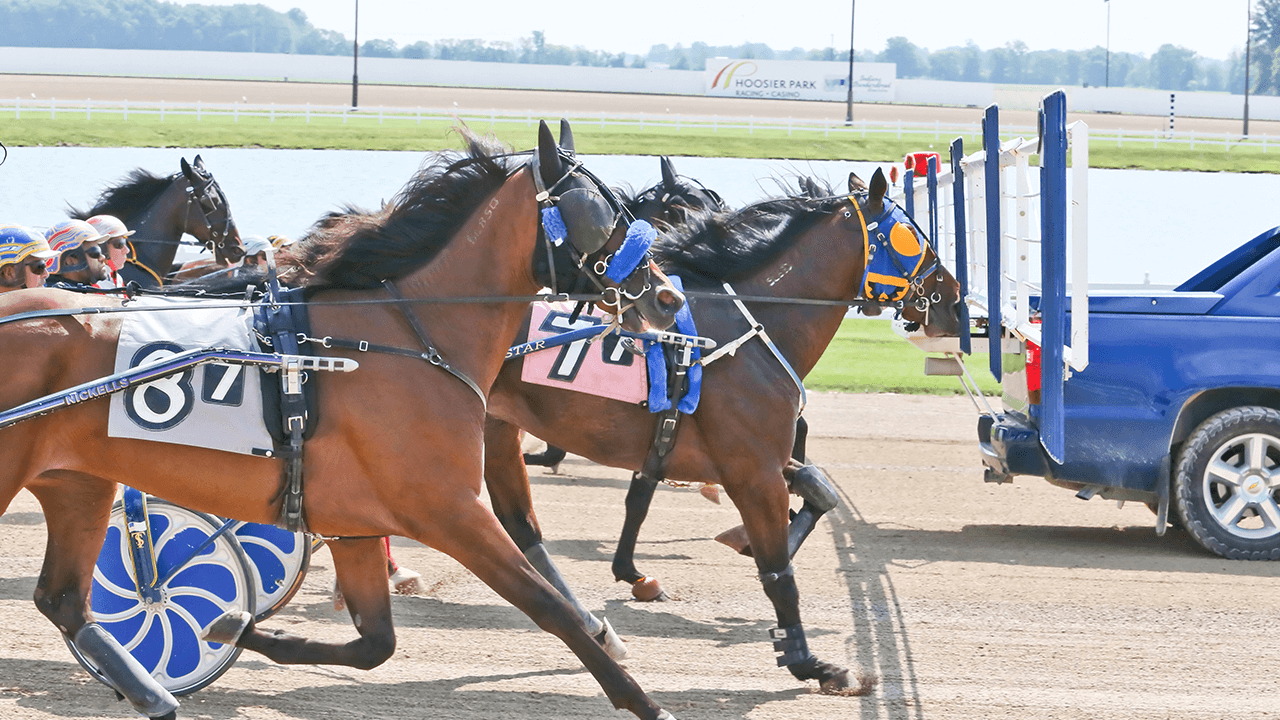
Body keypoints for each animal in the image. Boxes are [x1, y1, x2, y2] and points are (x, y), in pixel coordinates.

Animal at [482, 167, 963, 695]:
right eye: (915, 237)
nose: (956, 300)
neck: (746, 332)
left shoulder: (746, 459)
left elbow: (820, 491)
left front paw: (742, 541)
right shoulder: (753, 471)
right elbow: (779, 574)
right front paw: (808, 661)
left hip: (496, 427)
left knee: (518, 523)